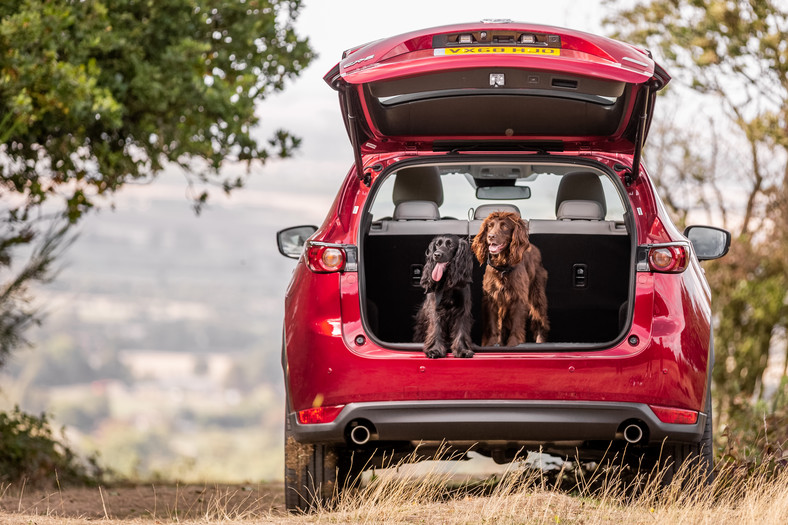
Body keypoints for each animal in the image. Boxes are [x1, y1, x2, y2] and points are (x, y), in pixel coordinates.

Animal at [474, 211, 548, 346]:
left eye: (504, 226)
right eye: (489, 226)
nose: (490, 236)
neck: (502, 267)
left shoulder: (519, 297)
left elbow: (517, 324)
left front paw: (513, 343)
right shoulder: (491, 298)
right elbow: (492, 324)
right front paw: (491, 344)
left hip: (537, 294)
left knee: (540, 320)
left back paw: (540, 341)